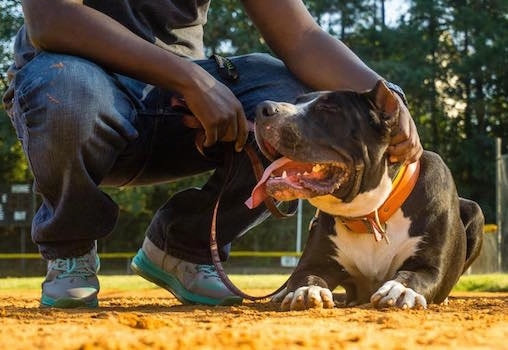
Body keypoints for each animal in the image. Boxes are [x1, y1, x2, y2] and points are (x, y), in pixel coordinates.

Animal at [246, 80, 484, 310]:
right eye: (296, 101)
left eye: (328, 108)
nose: (263, 108)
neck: (370, 215)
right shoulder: (314, 262)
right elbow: (306, 276)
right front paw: (307, 291)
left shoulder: (430, 266)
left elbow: (413, 275)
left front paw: (399, 289)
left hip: (475, 212)